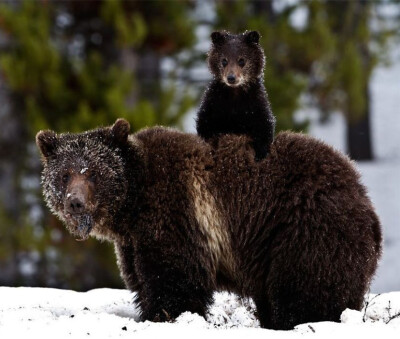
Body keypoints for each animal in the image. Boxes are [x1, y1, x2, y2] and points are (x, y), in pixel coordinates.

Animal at [36, 119, 382, 330]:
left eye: (93, 172)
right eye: (64, 174)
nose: (75, 202)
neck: (132, 205)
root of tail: (361, 190)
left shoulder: (176, 213)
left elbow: (174, 280)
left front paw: (166, 317)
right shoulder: (133, 242)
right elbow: (142, 280)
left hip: (305, 228)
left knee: (307, 287)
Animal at [196, 30, 276, 161]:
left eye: (241, 60)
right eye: (224, 60)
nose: (231, 78)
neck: (235, 94)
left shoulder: (255, 104)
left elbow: (264, 125)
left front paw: (261, 153)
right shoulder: (214, 103)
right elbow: (205, 124)